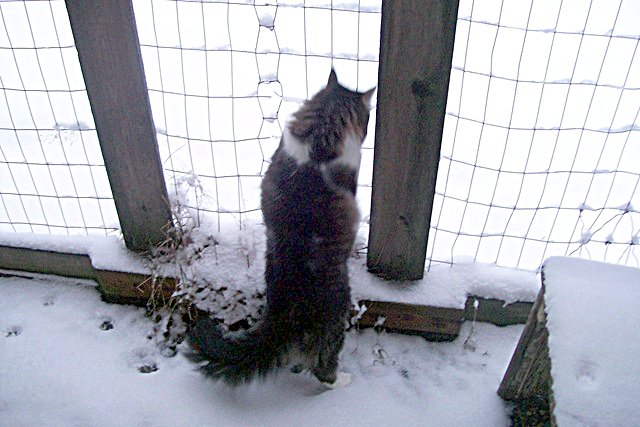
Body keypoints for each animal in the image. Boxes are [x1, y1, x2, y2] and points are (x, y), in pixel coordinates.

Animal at [187, 69, 375, 388]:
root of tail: (282, 316)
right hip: (336, 320)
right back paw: (341, 380)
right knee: (323, 368)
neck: (321, 132)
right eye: (367, 119)